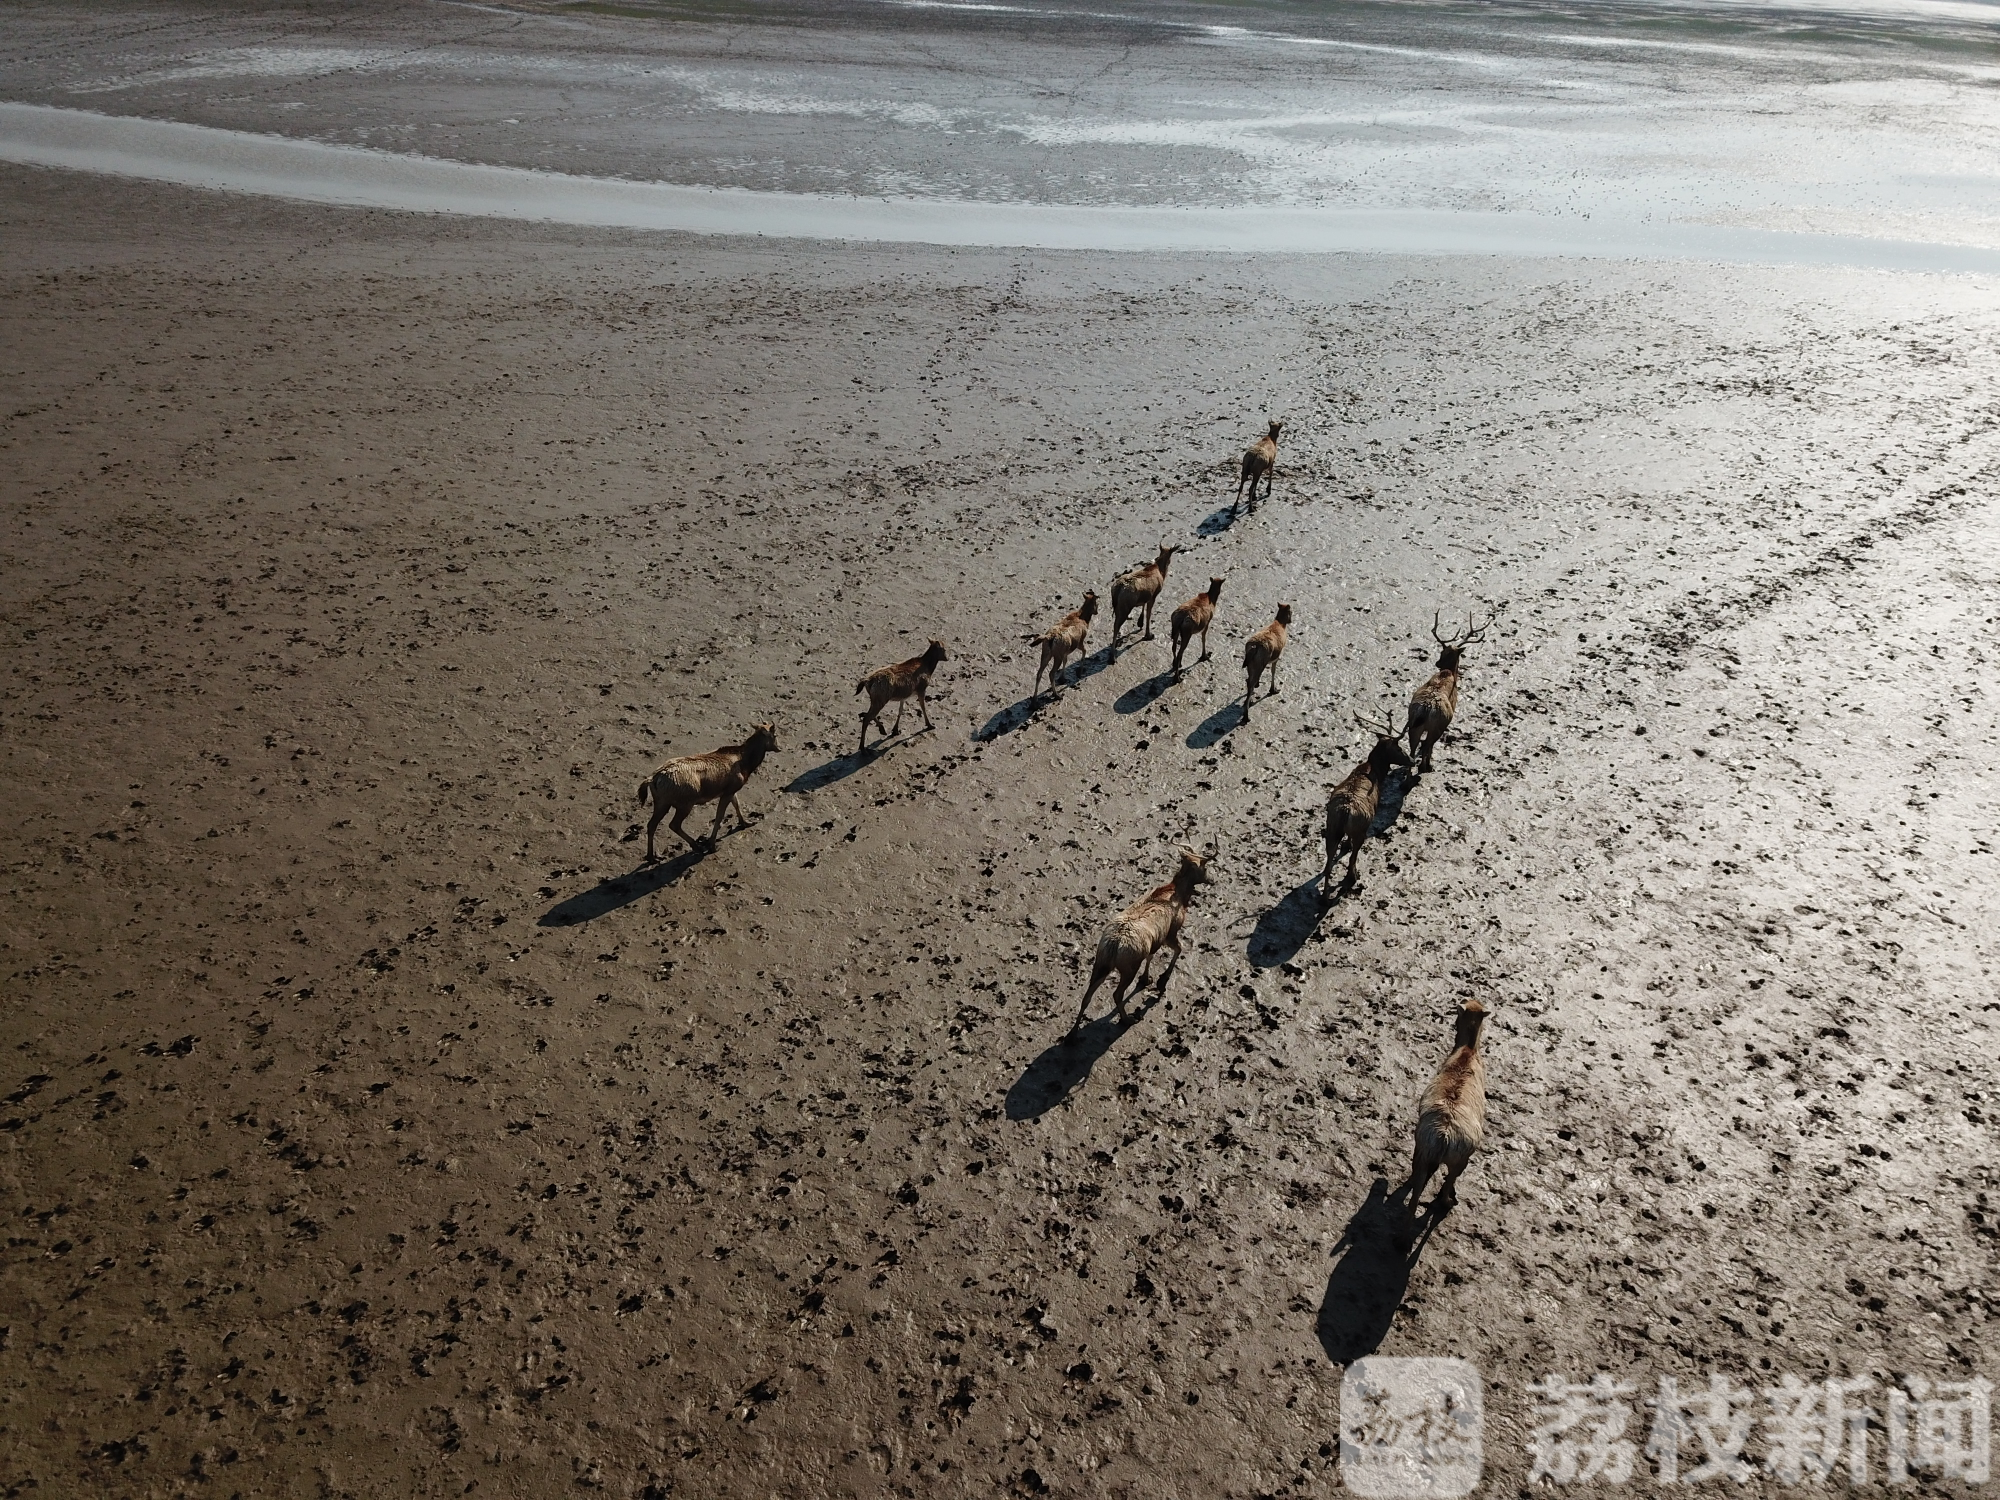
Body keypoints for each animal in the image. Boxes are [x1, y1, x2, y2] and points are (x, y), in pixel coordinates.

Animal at [637, 723, 779, 860]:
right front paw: (712, 845)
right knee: (674, 824)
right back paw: (696, 846)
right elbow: (719, 816)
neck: (746, 764)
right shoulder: (728, 791)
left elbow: (737, 804)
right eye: (775, 735)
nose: (779, 748)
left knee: (651, 825)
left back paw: (651, 856)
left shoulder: (731, 790)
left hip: (661, 802)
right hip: (685, 803)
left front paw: (746, 823)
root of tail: (652, 779)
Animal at [1071, 847, 1211, 1034]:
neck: (1180, 896)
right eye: (1204, 867)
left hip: (1101, 963)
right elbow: (1178, 949)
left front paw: (1146, 979)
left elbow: (1152, 956)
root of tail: (1114, 944)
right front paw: (1160, 980)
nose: (1210, 880)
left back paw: (1072, 1034)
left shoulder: (1156, 940)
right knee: (1117, 994)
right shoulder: (1170, 932)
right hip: (1129, 967)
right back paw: (1127, 1019)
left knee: (1087, 996)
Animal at [1320, 713, 1411, 897]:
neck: (1375, 771)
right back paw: (1352, 877)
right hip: (1360, 829)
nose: (1412, 760)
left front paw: (1345, 845)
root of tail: (1345, 811)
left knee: (1328, 865)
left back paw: (1325, 897)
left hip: (1331, 827)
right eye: (1399, 748)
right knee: (1353, 856)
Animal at [1406, 612, 1490, 773]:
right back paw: (1426, 767)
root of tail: (1426, 709)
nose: (1438, 663)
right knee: (1427, 746)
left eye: (1443, 652)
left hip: (1413, 722)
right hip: (1437, 725)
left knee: (1412, 750)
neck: (1449, 673)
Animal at [1407, 999, 1491, 1216]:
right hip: (1460, 1159)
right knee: (1448, 1182)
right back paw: (1447, 1202)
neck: (1467, 1051)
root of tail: (1444, 1136)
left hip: (1424, 1151)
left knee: (1415, 1192)